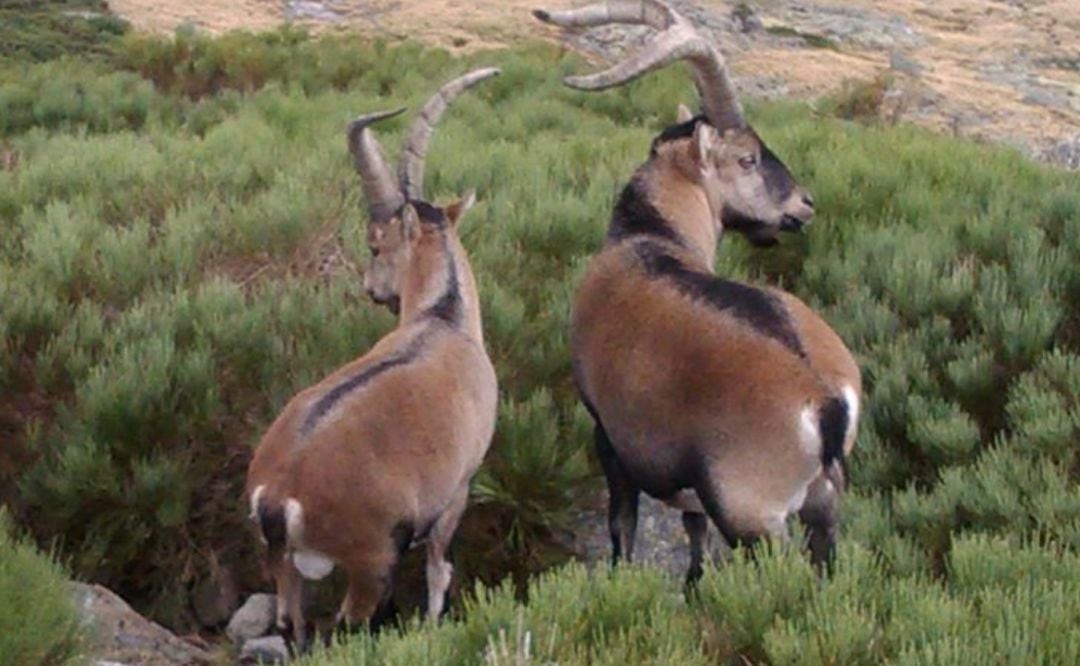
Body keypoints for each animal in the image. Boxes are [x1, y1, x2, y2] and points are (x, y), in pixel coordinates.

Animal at [245, 68, 500, 646]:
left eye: (375, 245)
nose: (372, 291)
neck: (444, 318)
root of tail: (279, 494)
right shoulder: (456, 492)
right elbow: (438, 569)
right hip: (370, 559)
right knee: (348, 624)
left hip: (284, 565)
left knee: (291, 623)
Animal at [536, 1, 861, 582]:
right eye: (748, 158)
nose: (803, 205)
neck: (650, 237)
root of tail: (826, 401)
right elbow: (693, 535)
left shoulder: (608, 432)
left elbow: (623, 526)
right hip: (820, 505)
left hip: (754, 518)